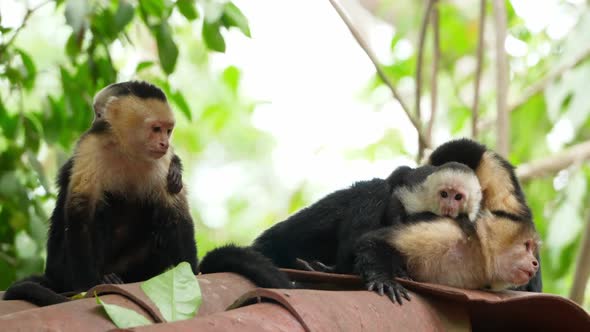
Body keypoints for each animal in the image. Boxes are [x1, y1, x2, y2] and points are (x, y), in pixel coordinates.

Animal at [4, 80, 292, 306]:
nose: (164, 143)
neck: (127, 150)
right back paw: (105, 277)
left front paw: (190, 273)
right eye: (155, 129)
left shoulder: (161, 163)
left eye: (168, 130)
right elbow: (80, 216)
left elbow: (176, 215)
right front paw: (89, 284)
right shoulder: (90, 148)